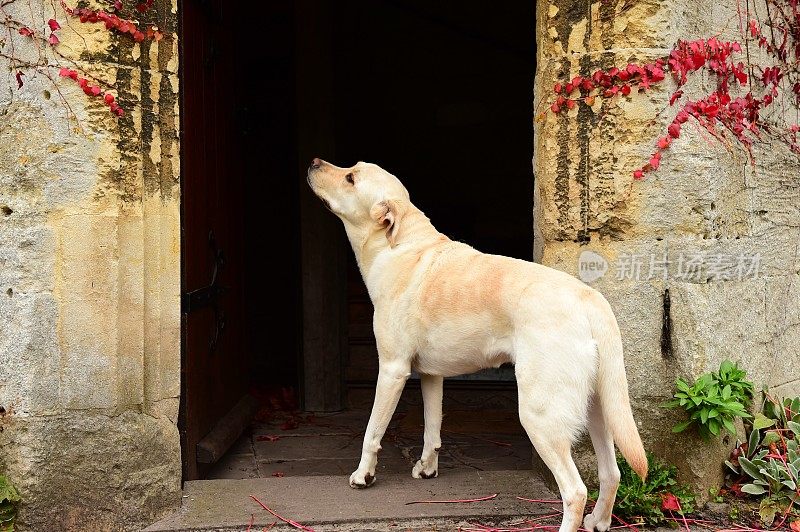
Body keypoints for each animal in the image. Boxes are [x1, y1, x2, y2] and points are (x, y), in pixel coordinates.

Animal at [304, 159, 648, 532]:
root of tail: (590, 298)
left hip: (540, 415)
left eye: (351, 178)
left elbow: (372, 431)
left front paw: (363, 475)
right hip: (599, 410)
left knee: (575, 491)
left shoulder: (392, 369)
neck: (399, 246)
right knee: (612, 473)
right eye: (352, 168)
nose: (314, 162)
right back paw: (598, 521)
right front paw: (427, 469)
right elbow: (432, 428)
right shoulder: (431, 375)